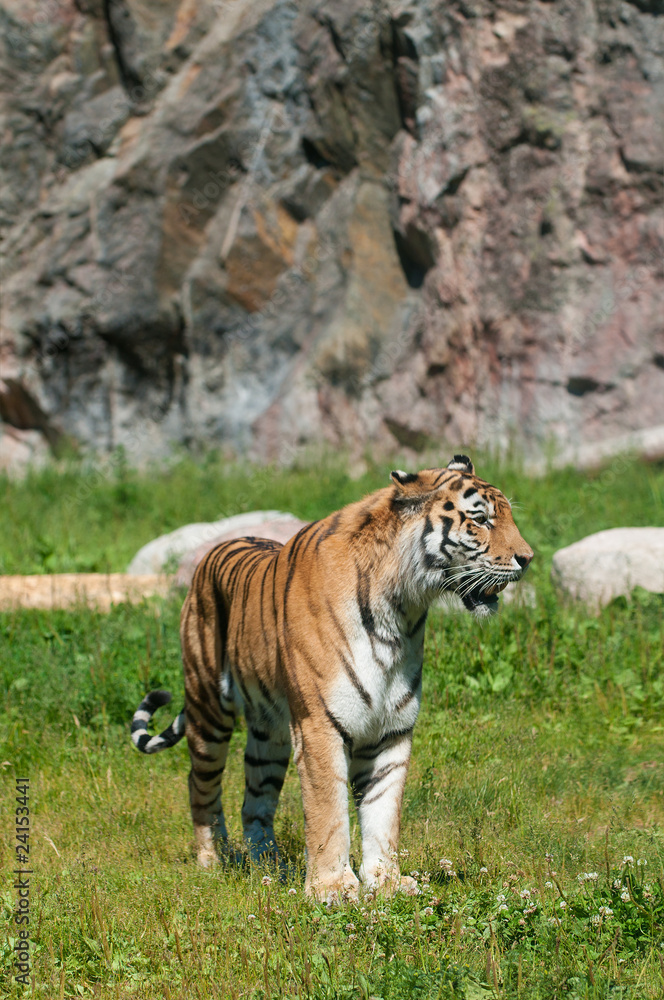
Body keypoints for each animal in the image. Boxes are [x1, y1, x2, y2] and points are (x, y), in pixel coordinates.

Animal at [131, 455, 533, 902]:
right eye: (480, 520)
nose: (528, 558)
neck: (402, 609)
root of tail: (212, 552)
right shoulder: (319, 724)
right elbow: (328, 809)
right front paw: (332, 887)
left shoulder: (392, 727)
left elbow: (383, 811)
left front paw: (387, 882)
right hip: (208, 710)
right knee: (199, 783)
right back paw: (211, 858)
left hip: (268, 735)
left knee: (255, 801)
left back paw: (269, 865)